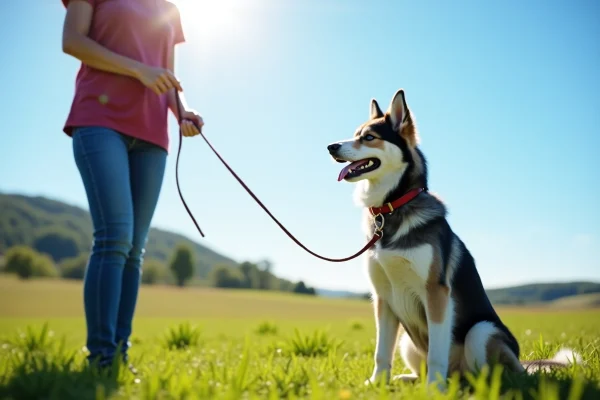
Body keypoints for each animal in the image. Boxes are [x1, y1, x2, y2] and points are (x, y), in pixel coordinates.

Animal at [328, 88, 580, 388]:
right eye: (355, 134)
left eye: (368, 137)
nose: (331, 147)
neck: (391, 208)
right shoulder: (384, 298)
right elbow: (381, 352)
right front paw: (377, 383)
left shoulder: (436, 293)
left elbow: (437, 351)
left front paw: (433, 390)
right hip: (407, 343)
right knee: (427, 369)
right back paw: (409, 379)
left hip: (481, 332)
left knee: (485, 376)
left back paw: (458, 386)